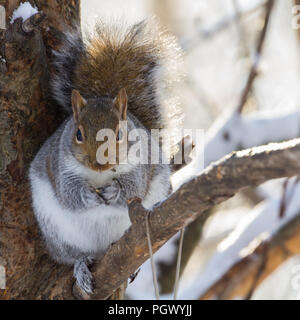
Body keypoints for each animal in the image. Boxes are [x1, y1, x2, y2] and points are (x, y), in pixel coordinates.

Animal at [29, 16, 183, 292]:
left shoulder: (141, 166)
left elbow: (133, 188)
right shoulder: (59, 167)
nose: (99, 164)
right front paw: (87, 196)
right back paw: (81, 266)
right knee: (74, 255)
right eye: (78, 133)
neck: (100, 176)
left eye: (120, 133)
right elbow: (69, 194)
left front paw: (115, 191)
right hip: (60, 234)